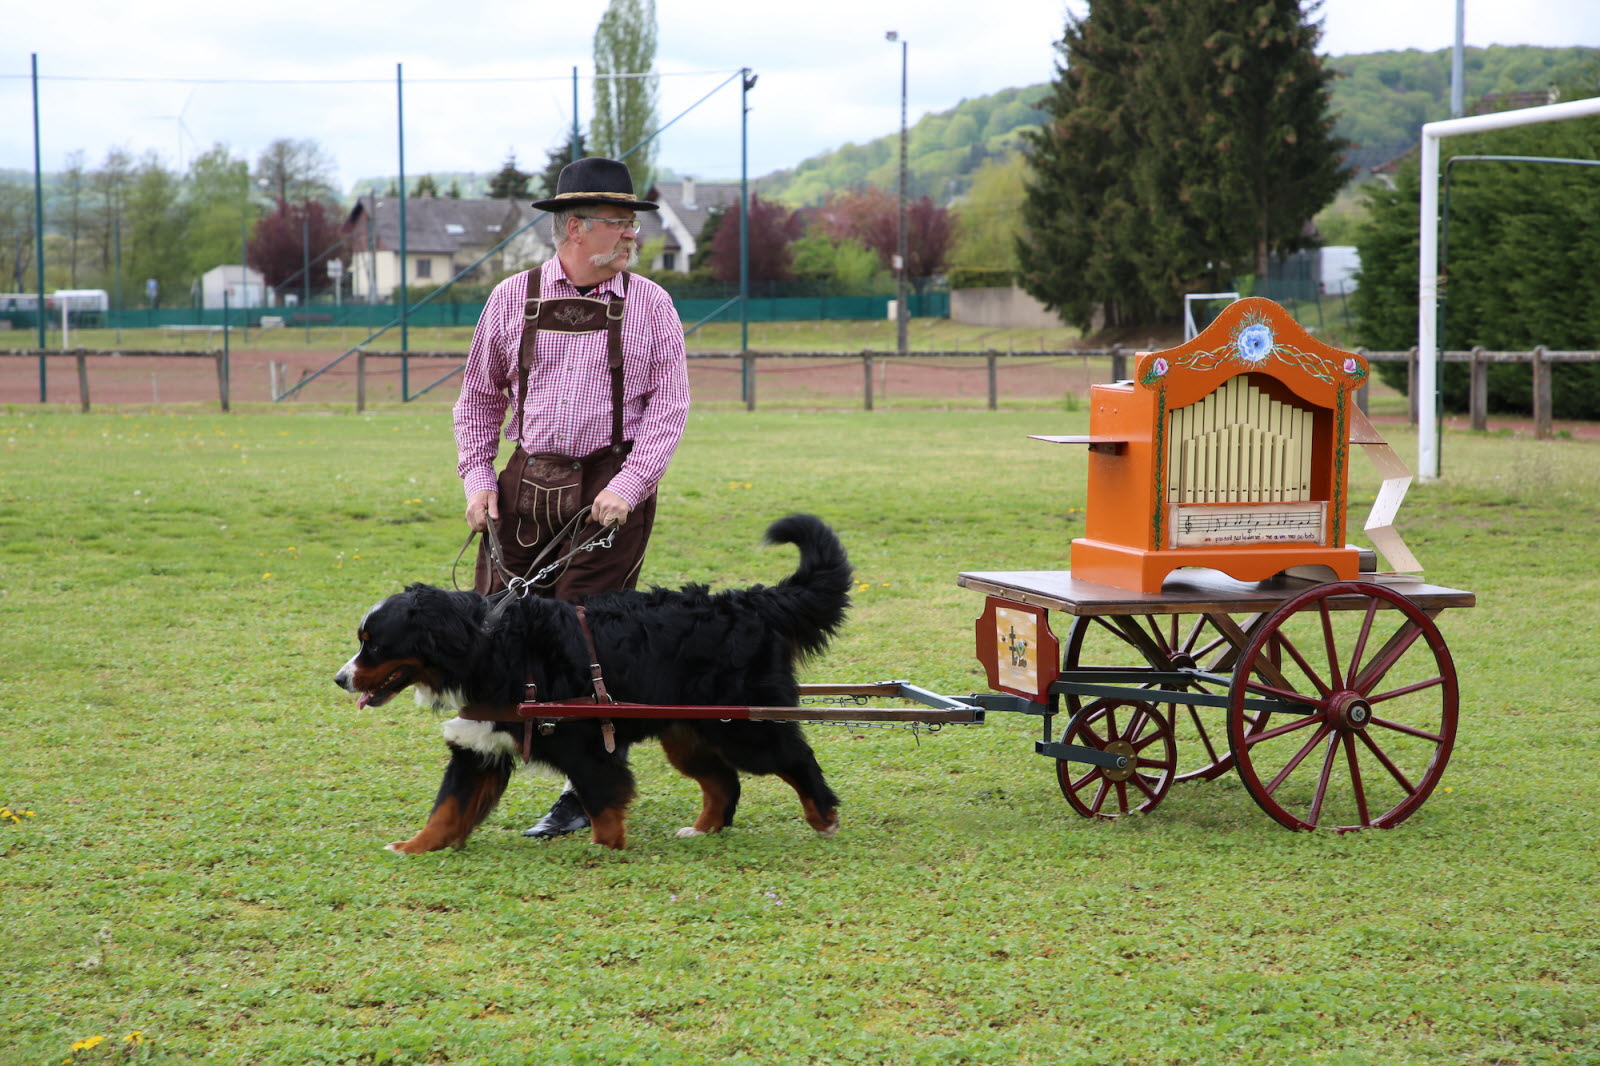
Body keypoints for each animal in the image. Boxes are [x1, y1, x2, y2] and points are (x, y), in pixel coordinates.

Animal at [334, 512, 851, 851]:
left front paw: (606, 850)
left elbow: (603, 805)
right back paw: (704, 829)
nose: (340, 679)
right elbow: (447, 810)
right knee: (723, 782)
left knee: (796, 759)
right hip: (687, 732)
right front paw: (414, 847)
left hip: (744, 727)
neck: (486, 647)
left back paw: (824, 817)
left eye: (374, 646)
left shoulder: (585, 747)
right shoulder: (477, 747)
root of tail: (748, 601)